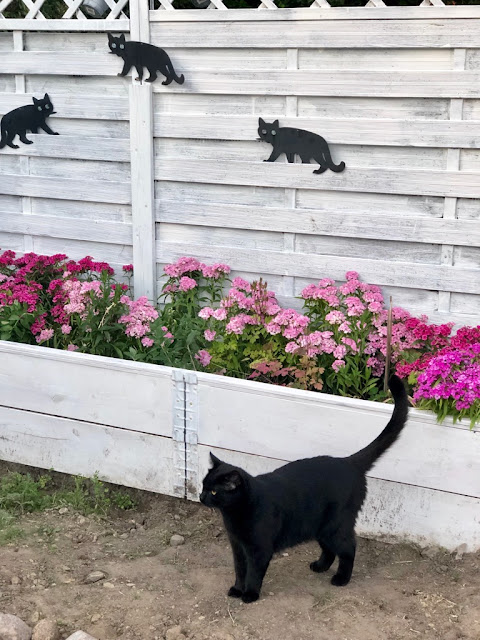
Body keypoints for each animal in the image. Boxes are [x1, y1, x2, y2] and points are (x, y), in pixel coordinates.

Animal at [200, 375, 408, 603]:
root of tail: (348, 462)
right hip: (319, 525)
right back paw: (320, 566)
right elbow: (240, 570)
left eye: (213, 492)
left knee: (349, 548)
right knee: (329, 549)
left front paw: (250, 594)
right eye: (203, 486)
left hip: (335, 525)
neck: (235, 514)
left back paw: (341, 579)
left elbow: (253, 572)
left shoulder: (259, 549)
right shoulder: (238, 547)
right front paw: (237, 589)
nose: (200, 496)